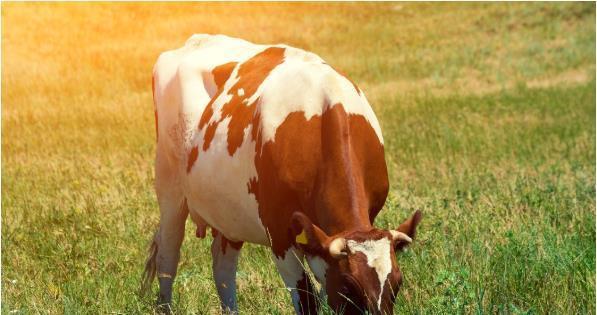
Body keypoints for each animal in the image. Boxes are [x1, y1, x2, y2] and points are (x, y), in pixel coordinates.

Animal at [140, 33, 422, 314]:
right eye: (349, 285)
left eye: (397, 283)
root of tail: (197, 39)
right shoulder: (278, 230)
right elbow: (306, 297)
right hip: (169, 186)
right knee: (168, 257)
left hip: (228, 210)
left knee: (223, 267)